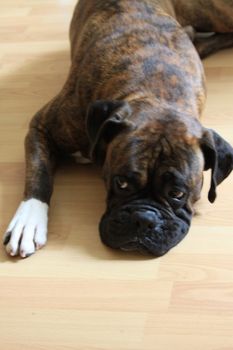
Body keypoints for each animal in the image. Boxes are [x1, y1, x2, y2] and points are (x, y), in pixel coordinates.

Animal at [3, 0, 233, 258]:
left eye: (177, 194)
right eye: (121, 183)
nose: (144, 219)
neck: (155, 91)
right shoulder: (41, 127)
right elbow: (39, 174)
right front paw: (28, 220)